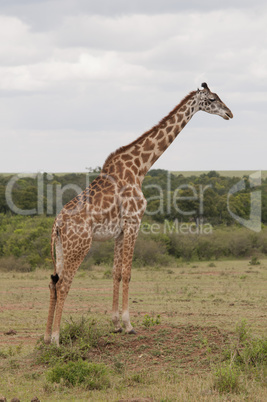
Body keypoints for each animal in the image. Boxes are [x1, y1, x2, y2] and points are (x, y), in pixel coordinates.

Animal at [44, 82, 232, 346]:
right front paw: (129, 325)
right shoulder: (134, 222)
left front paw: (115, 325)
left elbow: (115, 273)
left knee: (53, 283)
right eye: (213, 99)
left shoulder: (120, 231)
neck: (140, 168)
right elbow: (128, 273)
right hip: (79, 245)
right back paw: (56, 339)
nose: (229, 113)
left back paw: (44, 337)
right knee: (63, 285)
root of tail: (57, 225)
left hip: (61, 248)